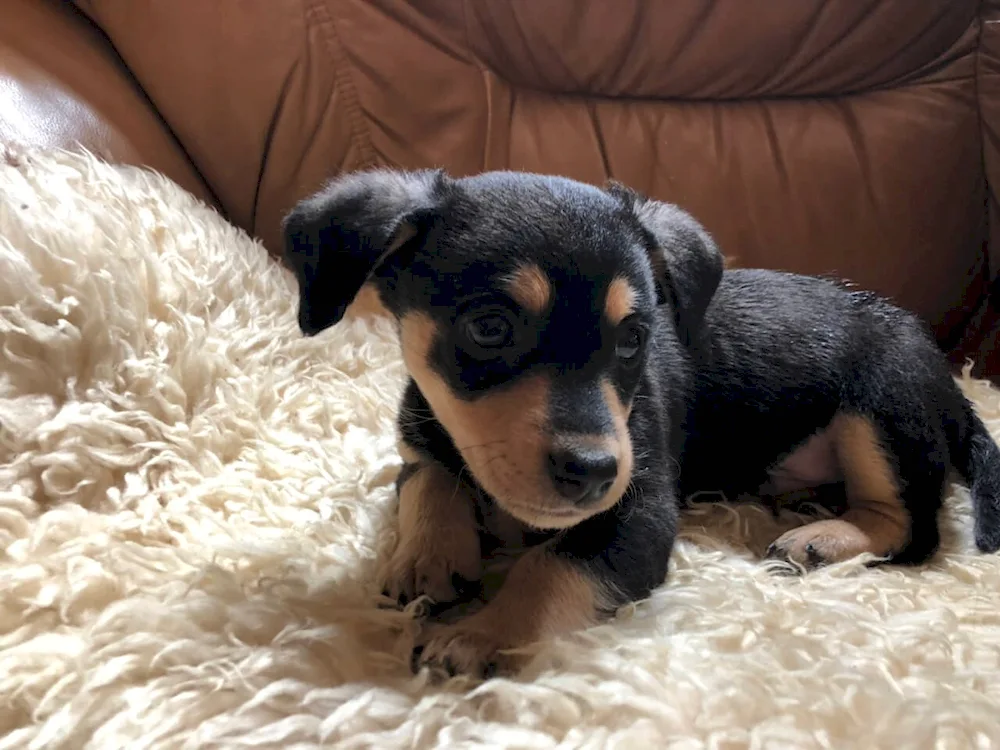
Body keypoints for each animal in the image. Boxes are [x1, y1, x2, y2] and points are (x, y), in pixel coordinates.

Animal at [280, 167, 1000, 680]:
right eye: (488, 327)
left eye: (633, 338)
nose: (593, 472)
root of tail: (951, 385)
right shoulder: (419, 443)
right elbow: (431, 481)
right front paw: (429, 555)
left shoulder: (640, 514)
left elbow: (549, 568)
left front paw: (478, 633)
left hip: (880, 405)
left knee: (913, 527)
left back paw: (822, 540)